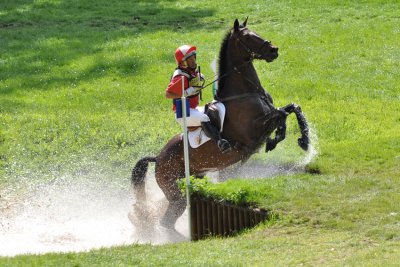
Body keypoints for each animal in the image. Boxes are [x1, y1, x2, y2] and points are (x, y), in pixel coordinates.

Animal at [131, 18, 310, 231]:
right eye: (248, 37)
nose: (273, 50)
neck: (246, 92)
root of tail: (157, 158)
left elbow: (293, 107)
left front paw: (304, 140)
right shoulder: (252, 131)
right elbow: (281, 115)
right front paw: (276, 139)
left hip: (190, 181)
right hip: (176, 192)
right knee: (166, 221)